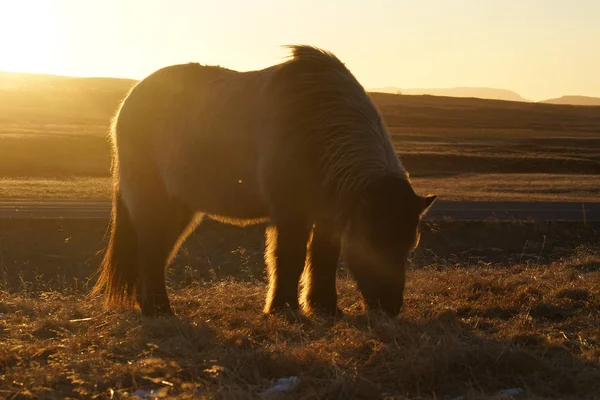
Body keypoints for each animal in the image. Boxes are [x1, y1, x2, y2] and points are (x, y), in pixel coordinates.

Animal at [90, 45, 436, 318]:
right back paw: (158, 310)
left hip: (181, 208)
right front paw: (283, 308)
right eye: (372, 243)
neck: (316, 124)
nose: (389, 308)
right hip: (154, 201)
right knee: (149, 250)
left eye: (409, 245)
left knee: (158, 251)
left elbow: (323, 258)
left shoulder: (328, 217)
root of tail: (130, 100)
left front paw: (324, 307)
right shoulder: (290, 214)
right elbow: (289, 258)